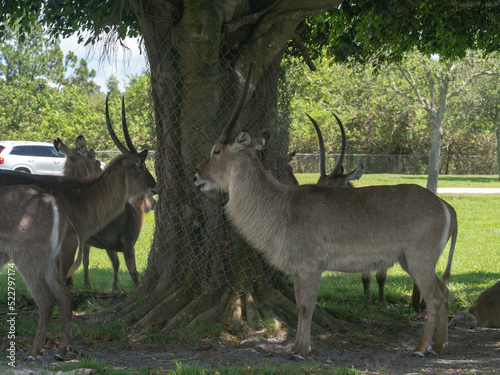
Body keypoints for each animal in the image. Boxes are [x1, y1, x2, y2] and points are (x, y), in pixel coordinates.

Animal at [0, 101, 155, 360]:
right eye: (141, 164)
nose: (155, 184)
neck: (82, 196)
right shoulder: (70, 246)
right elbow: (66, 288)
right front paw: (62, 345)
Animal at [194, 66, 458, 360]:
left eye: (216, 150)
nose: (196, 178)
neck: (282, 205)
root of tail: (446, 206)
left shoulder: (311, 265)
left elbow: (305, 307)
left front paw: (299, 350)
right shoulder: (299, 269)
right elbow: (301, 305)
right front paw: (300, 346)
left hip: (419, 259)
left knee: (433, 298)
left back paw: (421, 348)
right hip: (410, 261)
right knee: (444, 292)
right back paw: (440, 344)